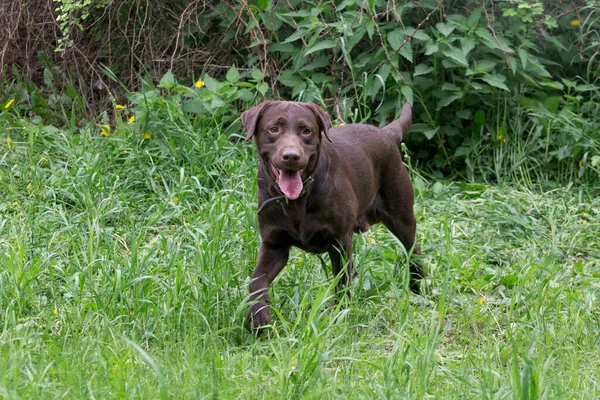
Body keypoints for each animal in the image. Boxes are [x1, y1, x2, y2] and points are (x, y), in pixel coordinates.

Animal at [240, 101, 422, 332]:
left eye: (306, 130)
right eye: (274, 129)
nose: (291, 156)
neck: (298, 200)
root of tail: (387, 133)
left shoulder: (340, 242)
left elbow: (341, 282)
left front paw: (339, 316)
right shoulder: (274, 244)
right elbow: (256, 280)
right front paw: (258, 315)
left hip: (401, 217)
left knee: (413, 250)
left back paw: (417, 290)